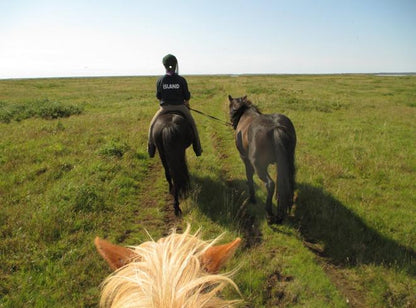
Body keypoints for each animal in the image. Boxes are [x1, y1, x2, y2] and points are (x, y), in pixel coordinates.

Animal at [228, 95, 296, 223]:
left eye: (232, 109)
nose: (233, 123)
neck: (246, 114)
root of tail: (276, 127)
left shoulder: (245, 159)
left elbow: (249, 175)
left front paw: (252, 197)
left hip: (259, 166)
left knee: (270, 184)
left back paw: (269, 213)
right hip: (287, 163)